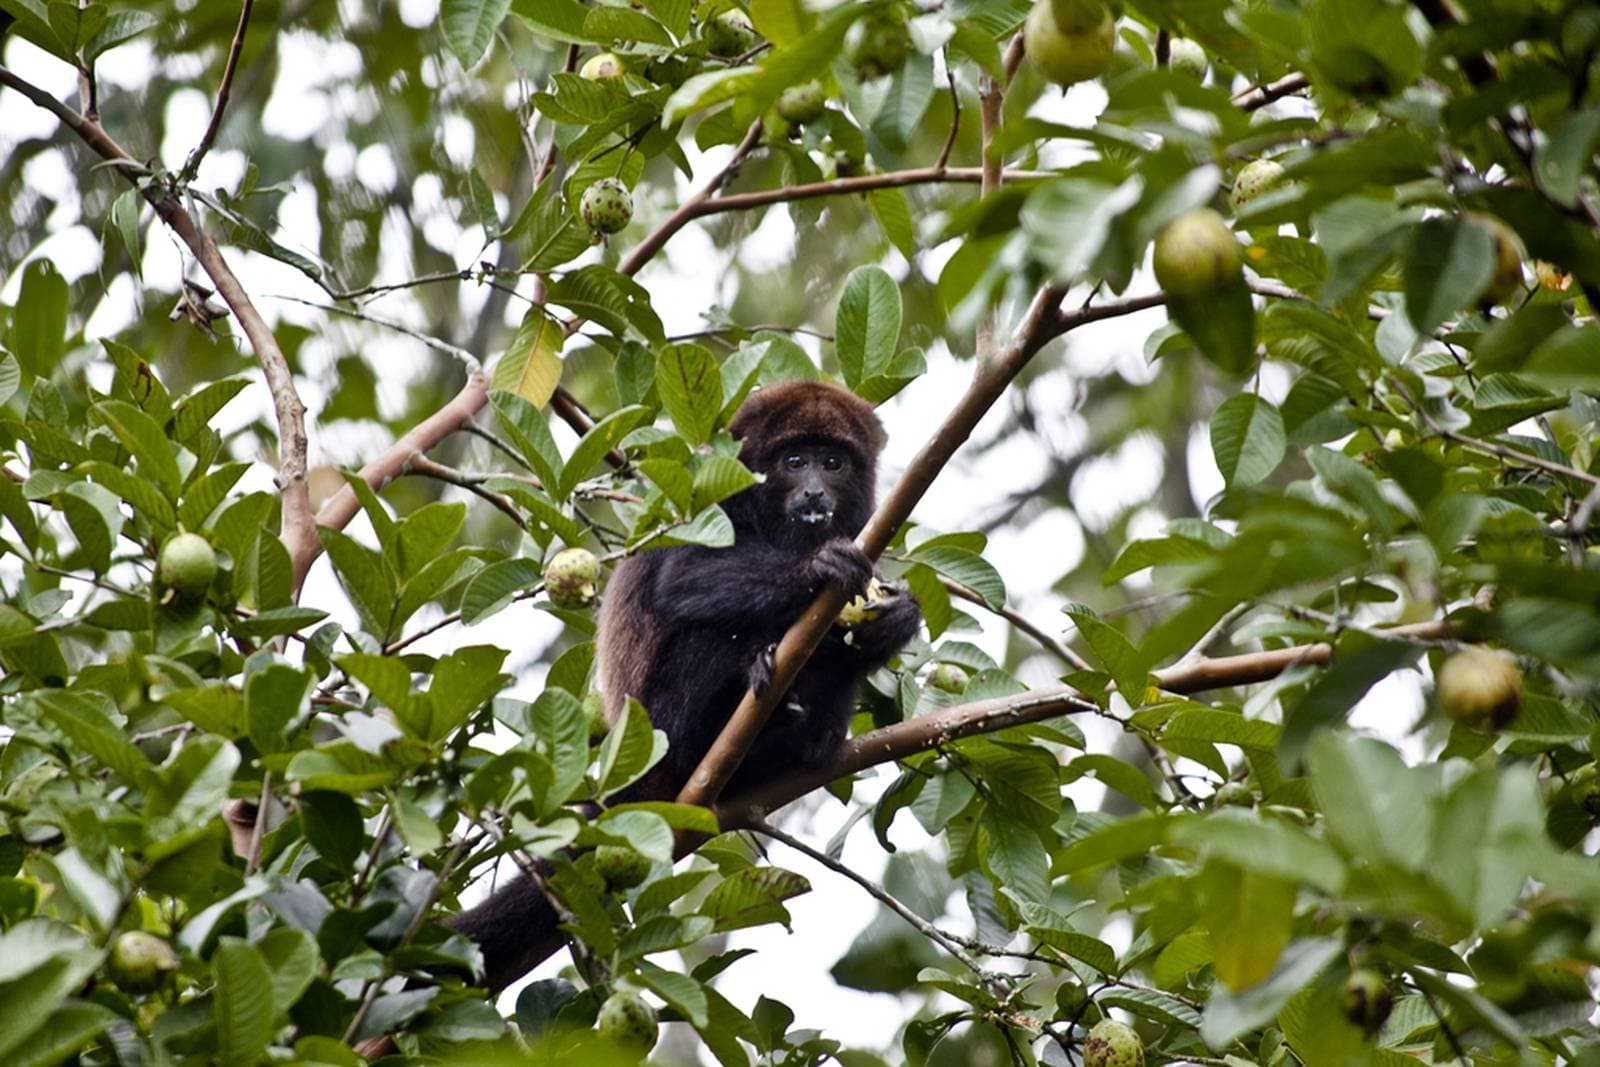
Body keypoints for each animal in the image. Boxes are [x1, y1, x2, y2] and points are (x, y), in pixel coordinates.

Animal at [449, 379, 921, 991]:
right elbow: (684, 578)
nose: (816, 492)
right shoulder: (710, 486)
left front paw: (899, 616)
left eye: (834, 462)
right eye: (794, 462)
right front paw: (818, 568)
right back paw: (754, 678)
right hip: (666, 722)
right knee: (706, 631)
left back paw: (803, 735)